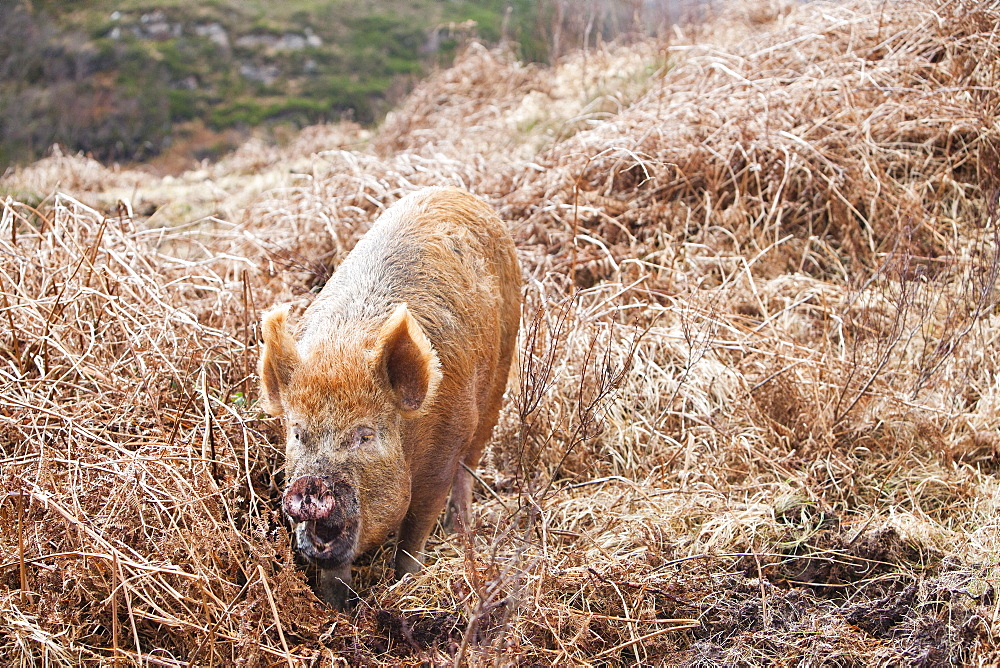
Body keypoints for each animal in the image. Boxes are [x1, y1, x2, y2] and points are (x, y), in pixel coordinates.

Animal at [258, 185, 520, 608]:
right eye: (298, 432)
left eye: (365, 435)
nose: (310, 485)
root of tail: (455, 191)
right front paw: (337, 607)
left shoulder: (443, 451)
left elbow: (416, 527)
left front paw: (405, 583)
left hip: (500, 372)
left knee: (472, 461)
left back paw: (459, 529)